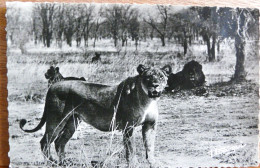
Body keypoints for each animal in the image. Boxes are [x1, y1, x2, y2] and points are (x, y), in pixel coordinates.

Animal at [19, 64, 171, 167]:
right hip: (57, 119)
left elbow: (150, 146)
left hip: (72, 122)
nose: (155, 85)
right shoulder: (129, 127)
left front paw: (153, 163)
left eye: (161, 77)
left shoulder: (150, 125)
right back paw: (52, 163)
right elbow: (131, 149)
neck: (148, 100)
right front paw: (134, 164)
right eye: (148, 77)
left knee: (59, 142)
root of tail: (53, 86)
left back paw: (65, 162)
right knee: (45, 141)